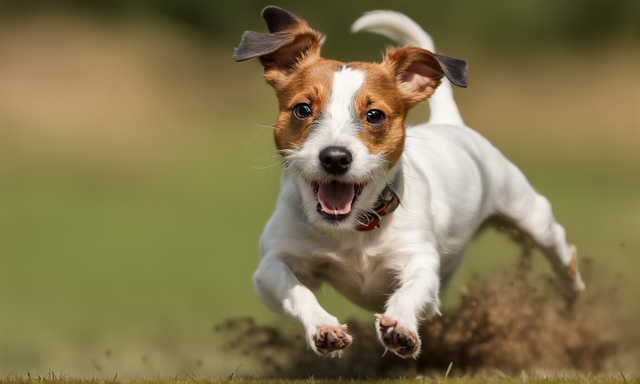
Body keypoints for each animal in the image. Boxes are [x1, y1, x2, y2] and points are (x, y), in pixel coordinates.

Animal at [234, 6, 584, 358]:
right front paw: (323, 327)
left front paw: (400, 325)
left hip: (528, 212)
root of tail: (448, 121)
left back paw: (571, 285)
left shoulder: (421, 263)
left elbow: (412, 290)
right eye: (302, 109)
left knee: (557, 243)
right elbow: (296, 290)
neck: (354, 230)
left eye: (374, 115)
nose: (334, 157)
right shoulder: (270, 268)